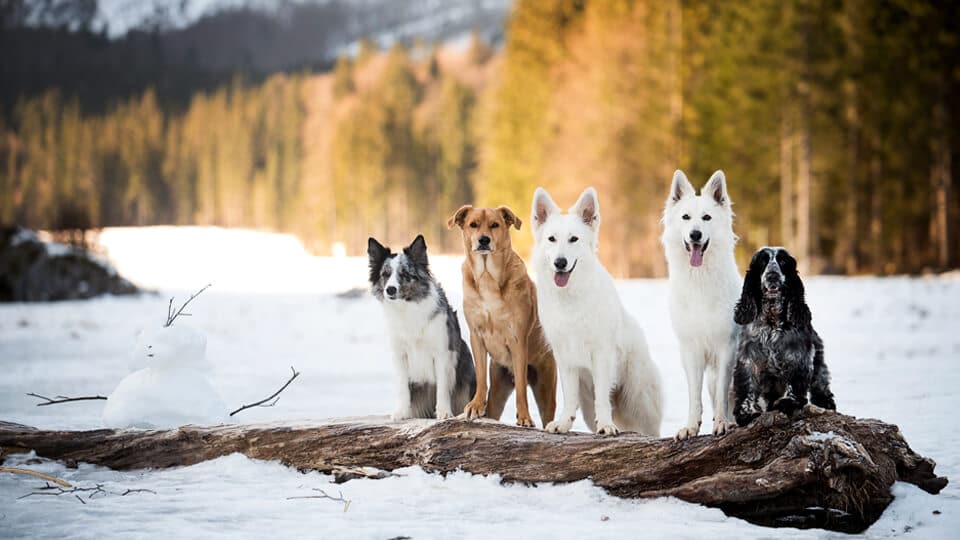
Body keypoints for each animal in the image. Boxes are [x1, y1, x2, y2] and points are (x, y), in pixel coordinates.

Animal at [448, 204, 560, 426]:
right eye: (473, 224)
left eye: (495, 225)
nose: (483, 240)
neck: (487, 277)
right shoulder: (477, 336)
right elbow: (481, 377)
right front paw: (475, 405)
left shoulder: (518, 339)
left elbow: (521, 391)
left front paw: (524, 417)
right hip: (498, 387)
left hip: (546, 385)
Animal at [532, 188, 660, 436]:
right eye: (552, 239)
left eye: (574, 239)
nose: (560, 262)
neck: (571, 299)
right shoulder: (564, 357)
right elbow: (569, 396)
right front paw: (563, 423)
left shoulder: (601, 354)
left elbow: (602, 396)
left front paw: (607, 426)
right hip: (589, 406)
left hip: (640, 400)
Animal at [660, 169, 744, 438]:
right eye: (686, 217)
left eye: (706, 218)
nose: (695, 234)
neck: (699, 281)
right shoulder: (690, 348)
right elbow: (694, 394)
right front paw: (690, 426)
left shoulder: (726, 346)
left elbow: (722, 395)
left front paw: (722, 423)